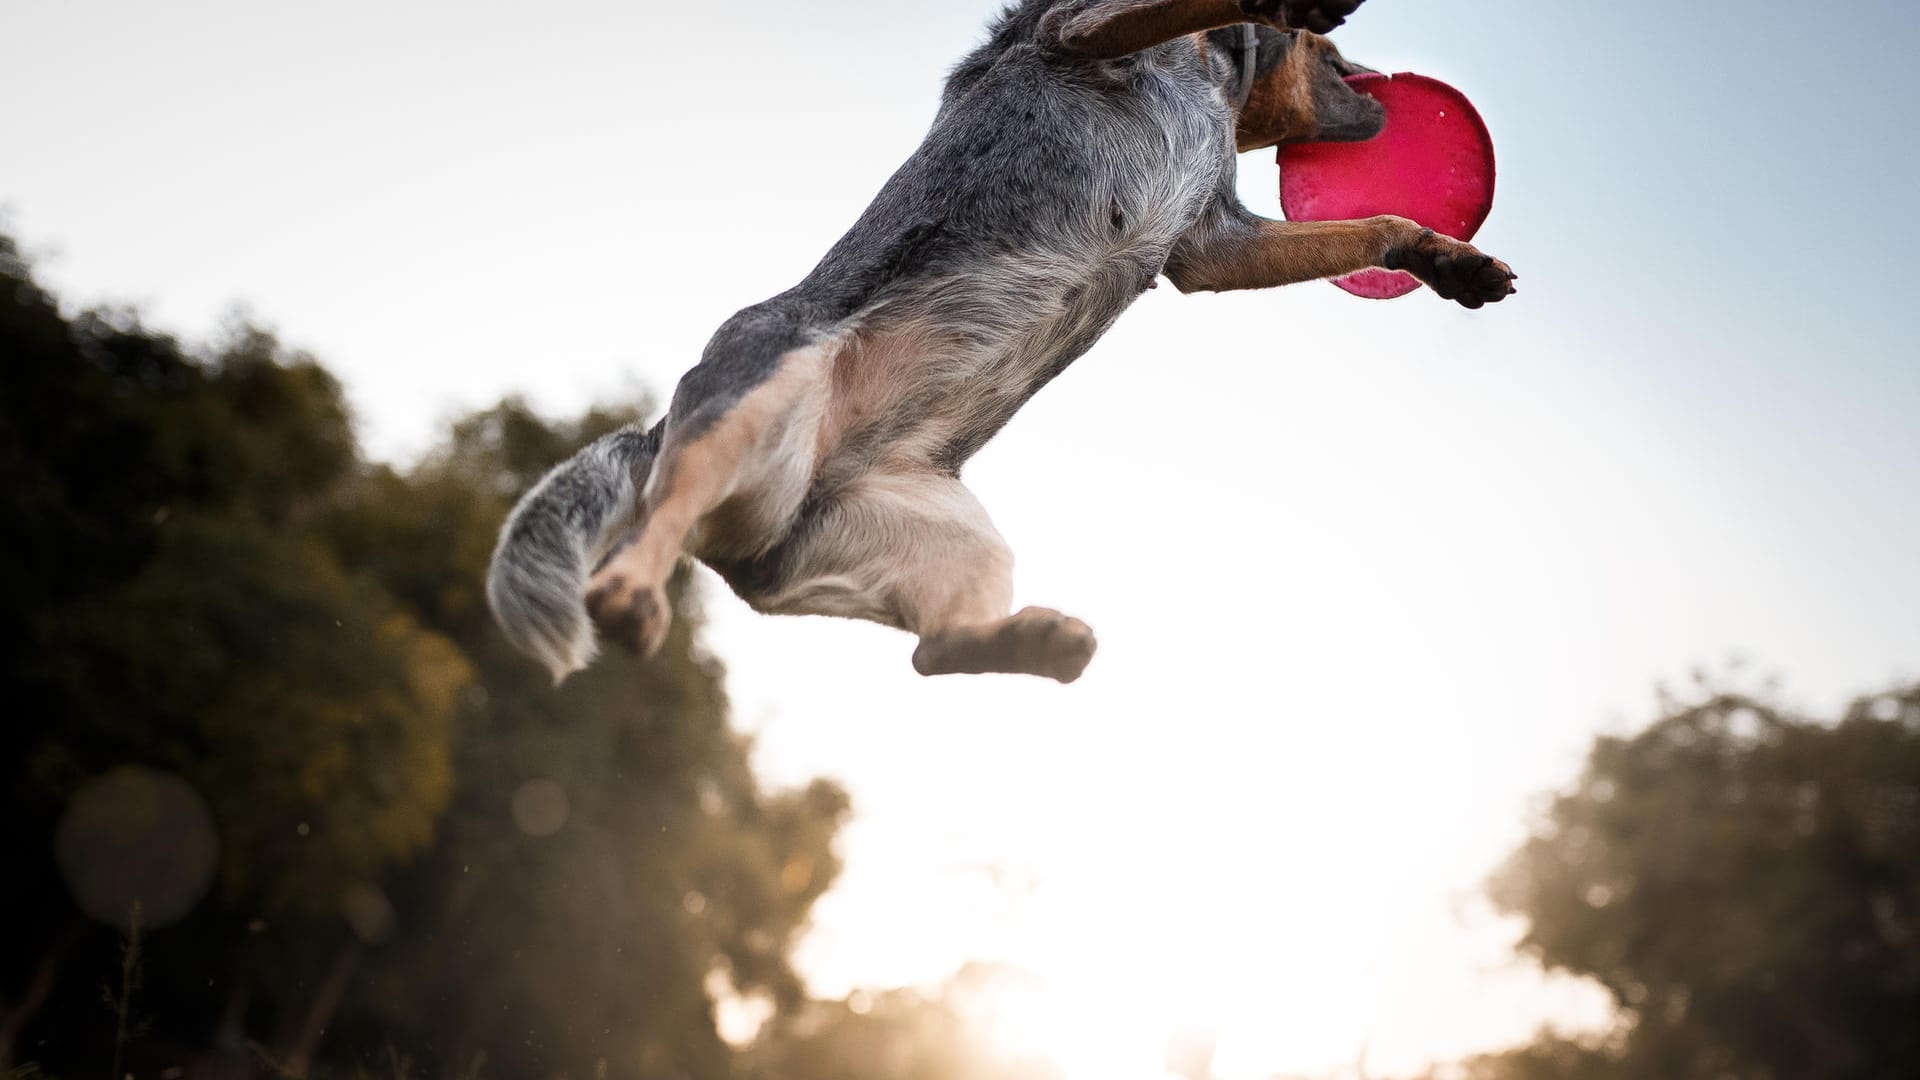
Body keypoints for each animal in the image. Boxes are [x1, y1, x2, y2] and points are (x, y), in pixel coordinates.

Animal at [491, 0, 1512, 680]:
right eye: (1336, 56)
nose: (1386, 93)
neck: (1220, 83)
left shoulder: (1215, 244)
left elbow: (1376, 221)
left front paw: (1447, 259)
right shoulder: (1090, 28)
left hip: (958, 543)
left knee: (933, 653)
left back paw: (1038, 641)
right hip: (758, 391)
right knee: (654, 525)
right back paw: (630, 595)